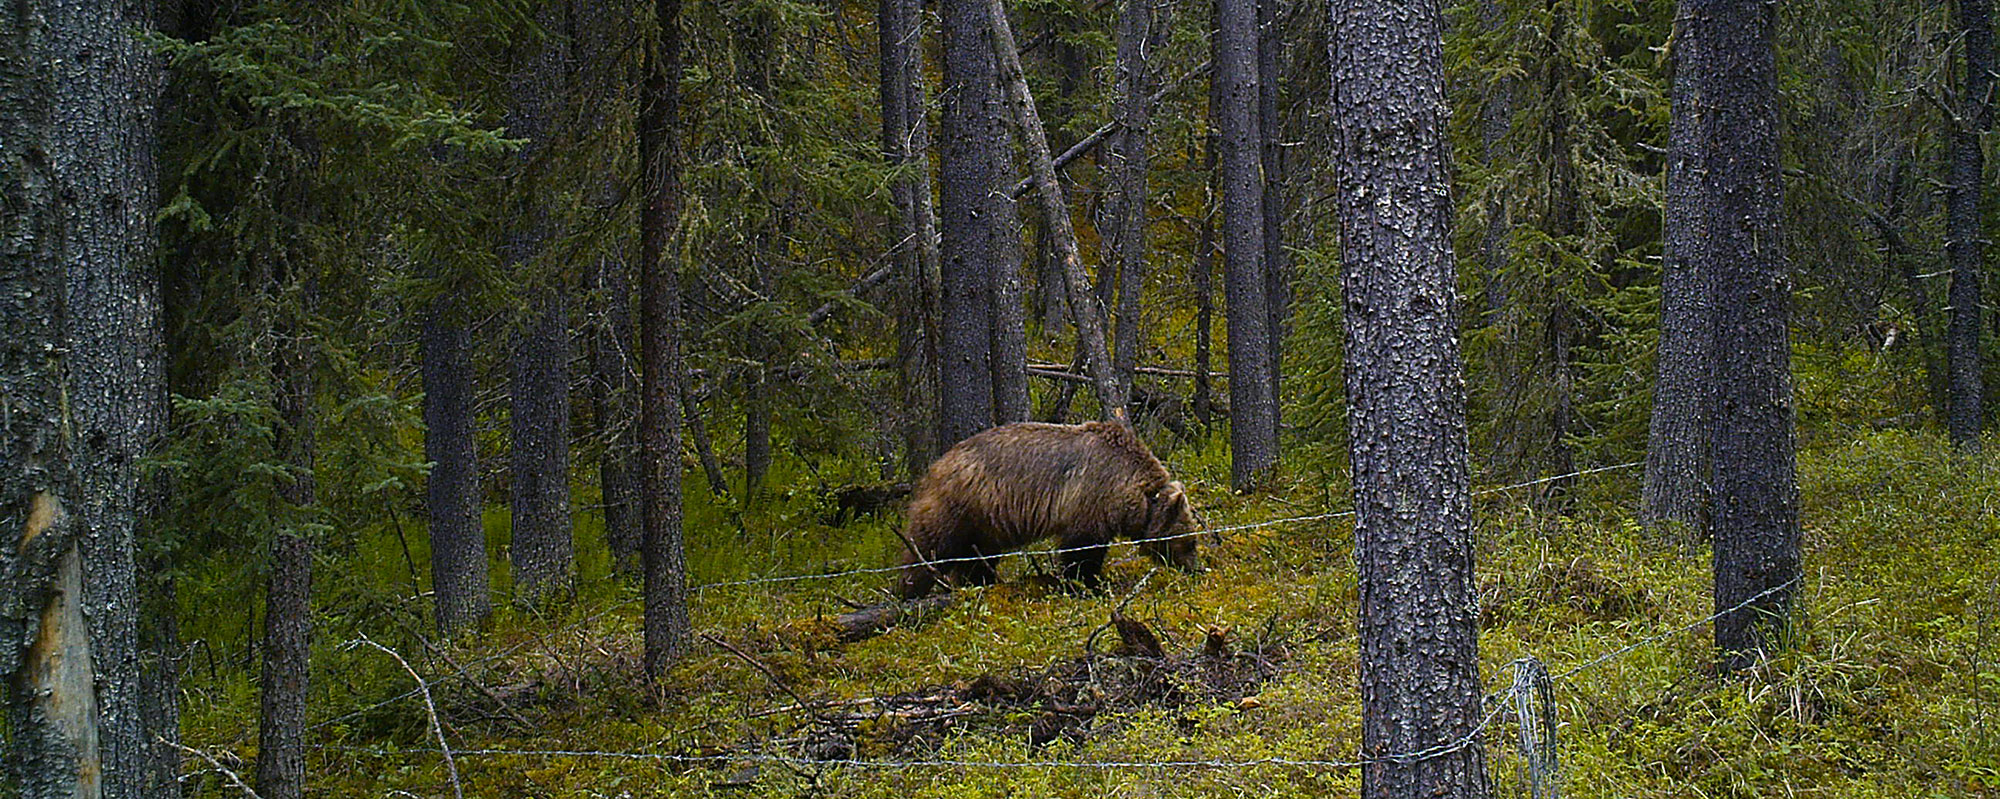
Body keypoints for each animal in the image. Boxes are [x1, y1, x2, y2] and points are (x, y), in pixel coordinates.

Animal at [896, 417, 1200, 599]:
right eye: (1190, 541)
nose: (1196, 569)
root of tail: (936, 465)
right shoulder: (1090, 498)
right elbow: (1081, 551)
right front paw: (1088, 584)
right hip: (959, 507)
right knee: (930, 547)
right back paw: (909, 592)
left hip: (985, 523)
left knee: (977, 559)